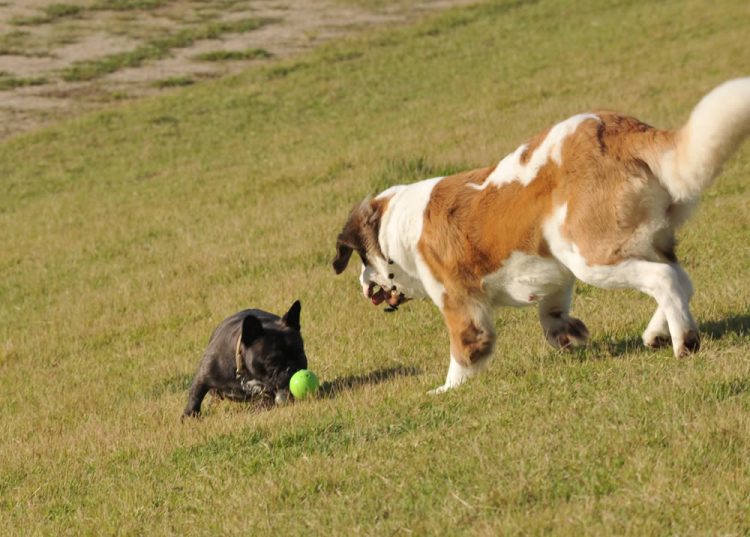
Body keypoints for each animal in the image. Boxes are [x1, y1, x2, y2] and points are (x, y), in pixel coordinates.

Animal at [334, 77, 750, 392]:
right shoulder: (551, 271)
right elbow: (550, 313)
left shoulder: (457, 300)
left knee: (663, 278)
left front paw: (446, 389)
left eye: (361, 260)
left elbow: (466, 348)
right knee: (682, 281)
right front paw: (566, 334)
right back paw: (656, 334)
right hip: (634, 244)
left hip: (590, 256)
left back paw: (684, 342)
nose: (361, 282)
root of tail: (616, 128)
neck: (398, 226)